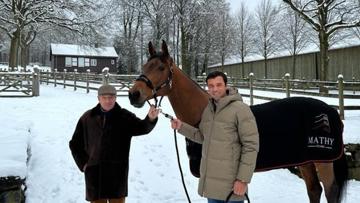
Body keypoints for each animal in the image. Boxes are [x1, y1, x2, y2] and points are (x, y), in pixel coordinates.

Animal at [128, 40, 348, 202]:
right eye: (145, 66)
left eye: (161, 67)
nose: (133, 94)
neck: (206, 113)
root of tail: (330, 111)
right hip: (306, 161)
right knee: (314, 190)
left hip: (324, 162)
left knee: (329, 191)